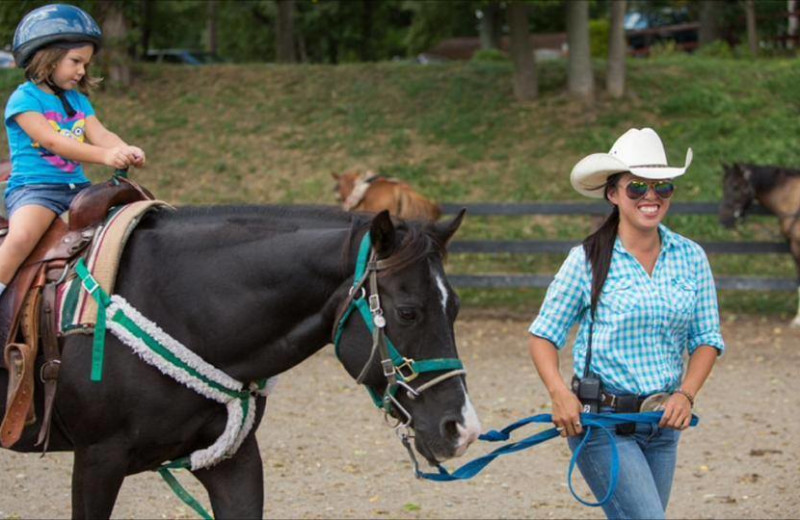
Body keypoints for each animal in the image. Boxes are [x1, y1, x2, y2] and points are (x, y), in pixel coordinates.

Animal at [0, 205, 482, 516]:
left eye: (456, 307)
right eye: (408, 312)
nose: (462, 428)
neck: (175, 304)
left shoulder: (232, 460)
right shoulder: (98, 460)